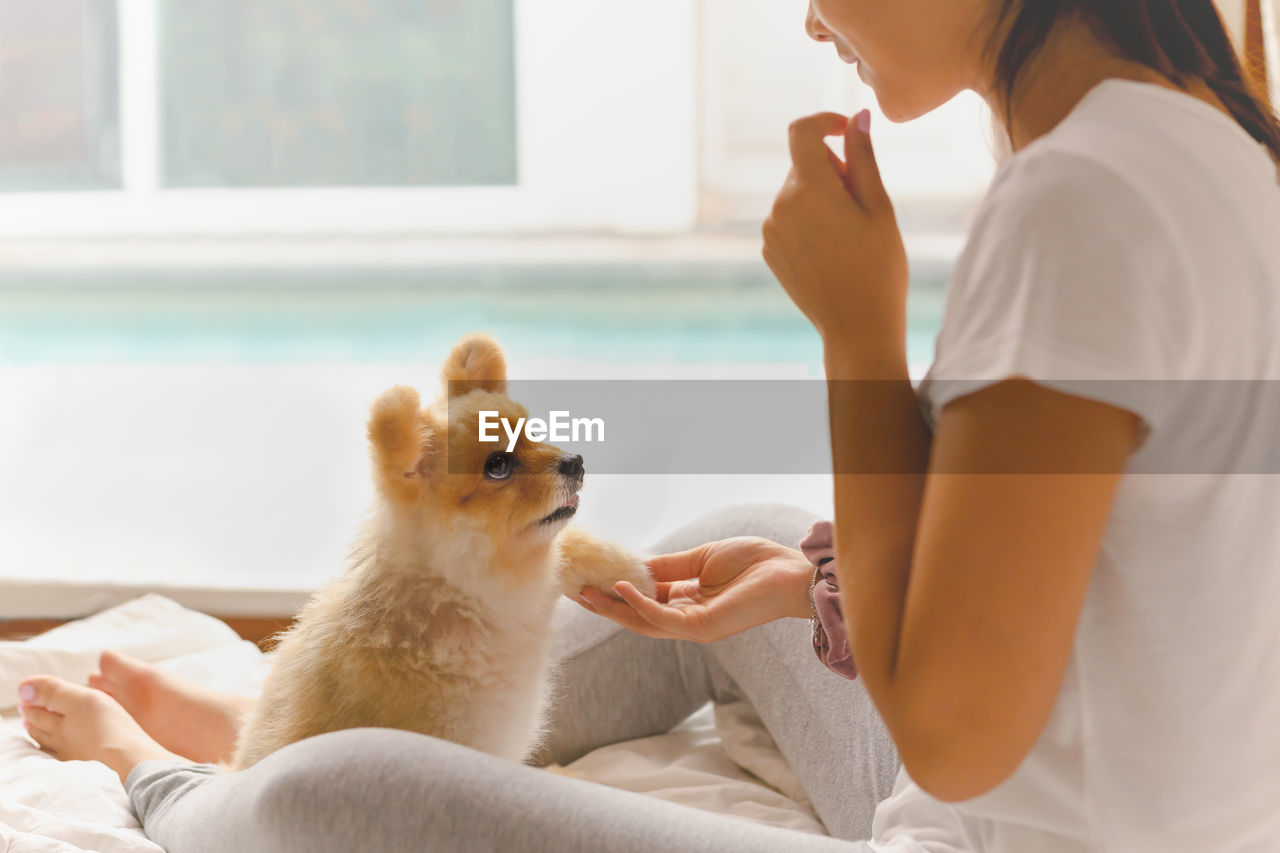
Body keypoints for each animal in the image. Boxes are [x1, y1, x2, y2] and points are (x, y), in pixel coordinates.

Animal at [230, 333, 655, 768]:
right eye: (498, 465)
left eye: (534, 433)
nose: (576, 461)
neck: (471, 597)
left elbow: (569, 546)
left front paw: (631, 575)